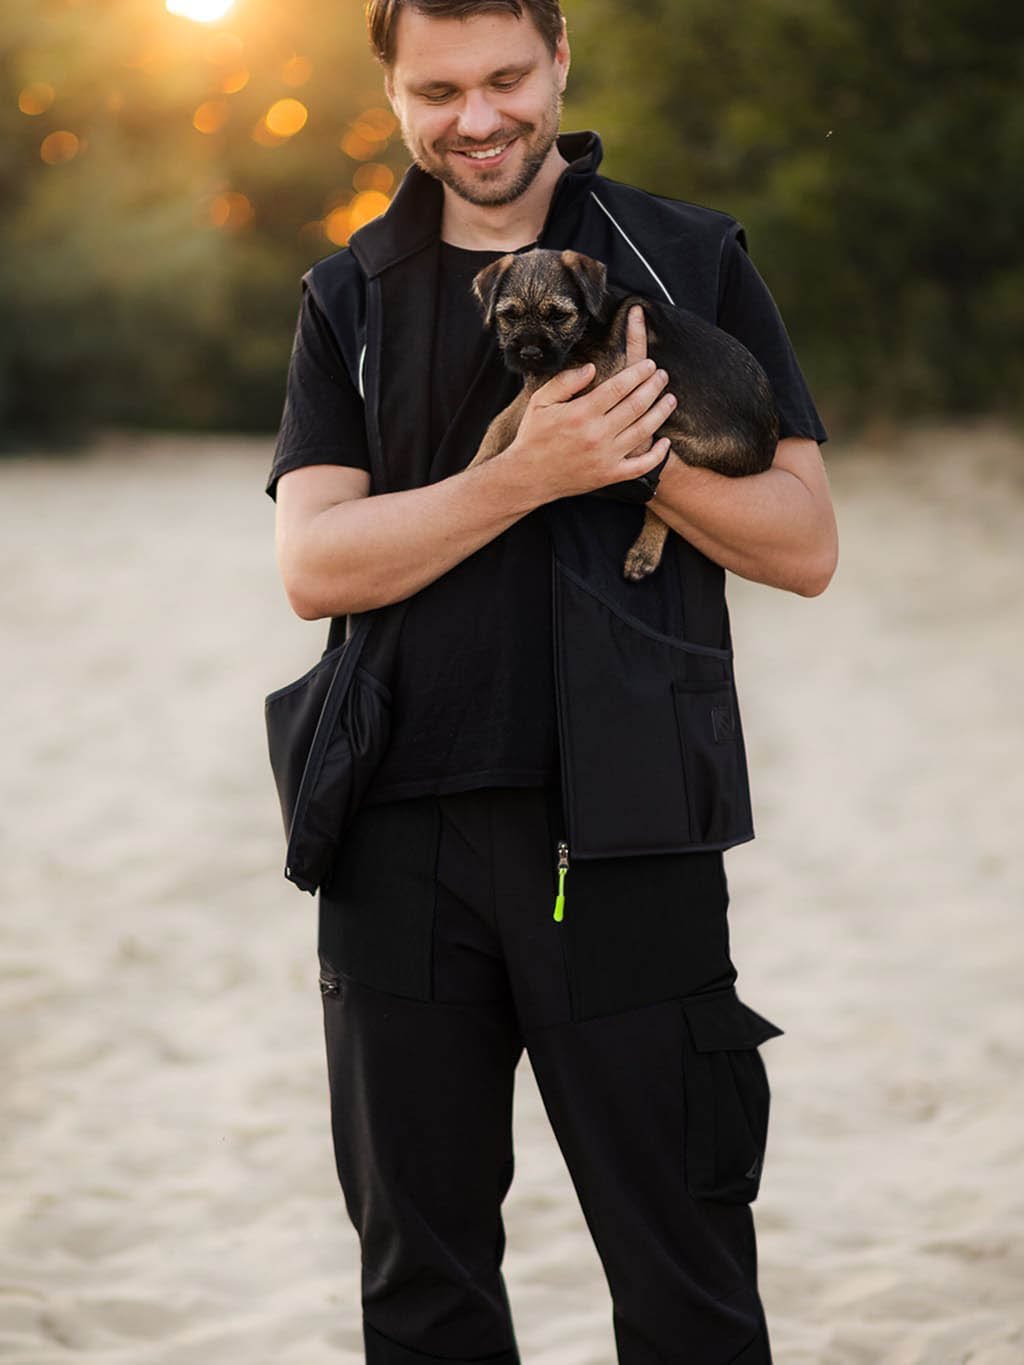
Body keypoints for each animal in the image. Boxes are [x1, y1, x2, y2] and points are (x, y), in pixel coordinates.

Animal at [469, 248, 780, 578]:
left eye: (558, 316)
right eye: (509, 315)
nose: (529, 353)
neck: (588, 327)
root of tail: (768, 450)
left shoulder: (572, 376)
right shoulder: (541, 383)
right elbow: (501, 422)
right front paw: (476, 467)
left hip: (679, 440)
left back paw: (644, 553)